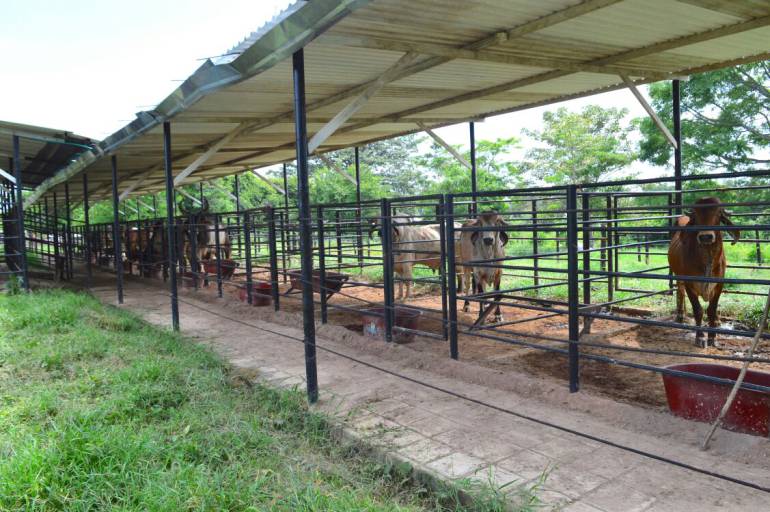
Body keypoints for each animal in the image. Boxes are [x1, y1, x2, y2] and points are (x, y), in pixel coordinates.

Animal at [664, 197, 736, 348]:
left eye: (718, 213)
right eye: (696, 216)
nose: (706, 237)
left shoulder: (719, 285)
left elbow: (711, 309)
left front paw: (713, 337)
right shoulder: (689, 284)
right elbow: (698, 310)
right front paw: (700, 337)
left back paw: (718, 320)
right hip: (678, 275)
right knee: (680, 291)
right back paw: (680, 314)